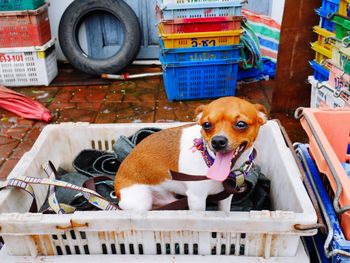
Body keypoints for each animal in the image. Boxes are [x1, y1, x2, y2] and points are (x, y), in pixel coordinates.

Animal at [113, 97, 266, 212]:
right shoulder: (197, 199)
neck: (209, 161)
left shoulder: (226, 197)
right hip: (141, 202)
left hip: (169, 198)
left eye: (241, 124)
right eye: (206, 125)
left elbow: (225, 212)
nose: (217, 141)